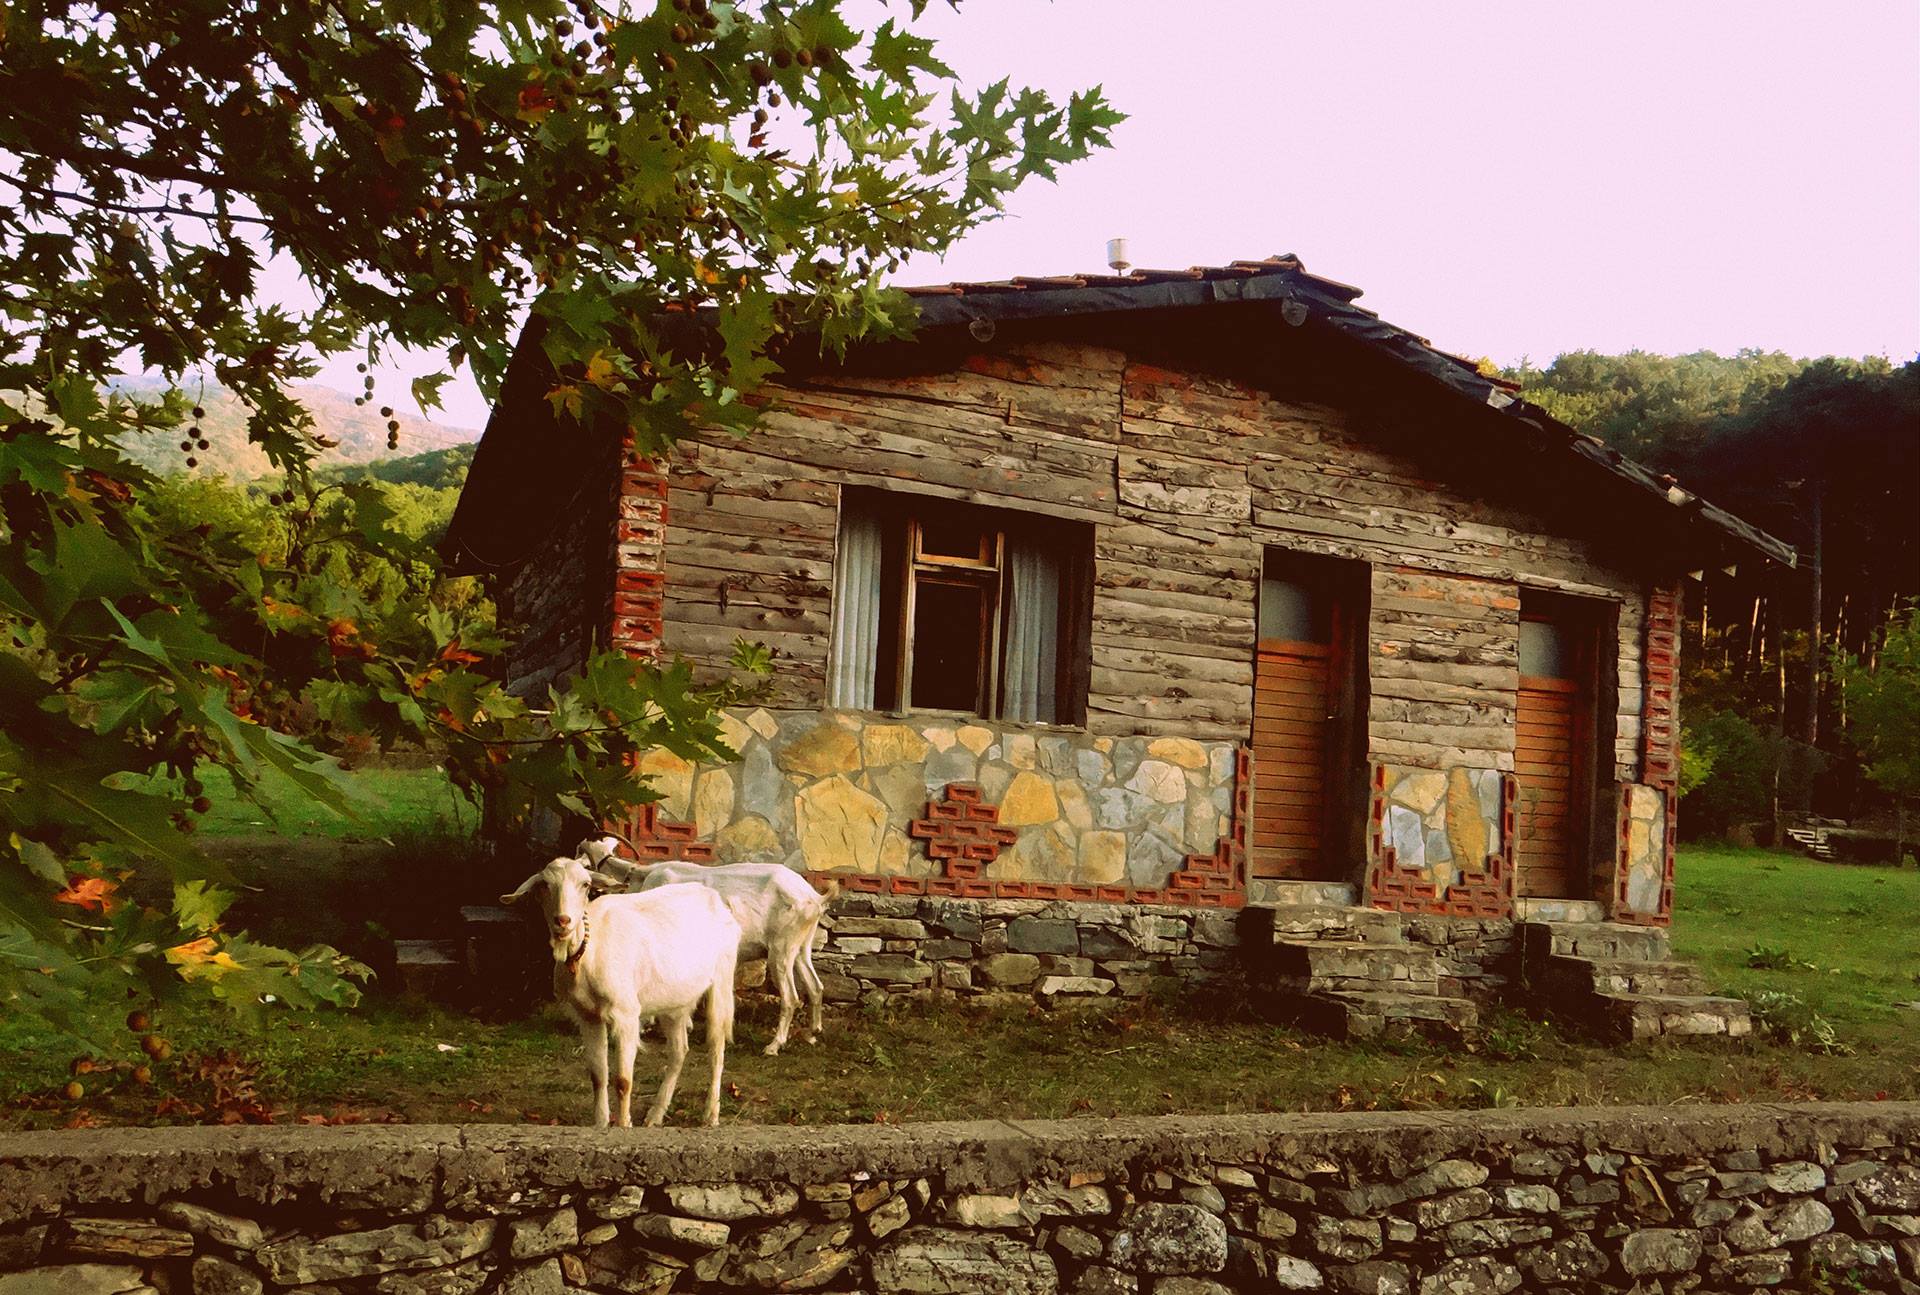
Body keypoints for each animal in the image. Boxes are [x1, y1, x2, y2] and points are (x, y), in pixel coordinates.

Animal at [500, 855, 741, 1127]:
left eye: (585, 884)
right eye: (543, 885)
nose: (563, 921)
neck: (589, 952)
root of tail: (717, 900)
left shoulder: (626, 1013)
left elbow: (624, 1081)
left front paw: (623, 1124)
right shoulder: (588, 1016)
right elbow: (598, 1076)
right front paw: (601, 1123)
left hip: (722, 980)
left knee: (716, 1048)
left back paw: (711, 1115)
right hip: (675, 1000)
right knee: (679, 1050)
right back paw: (655, 1115)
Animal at [581, 836, 832, 1056]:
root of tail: (814, 898)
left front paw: (648, 1024)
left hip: (781, 950)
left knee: (791, 998)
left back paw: (773, 1046)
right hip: (800, 948)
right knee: (815, 986)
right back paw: (813, 1033)